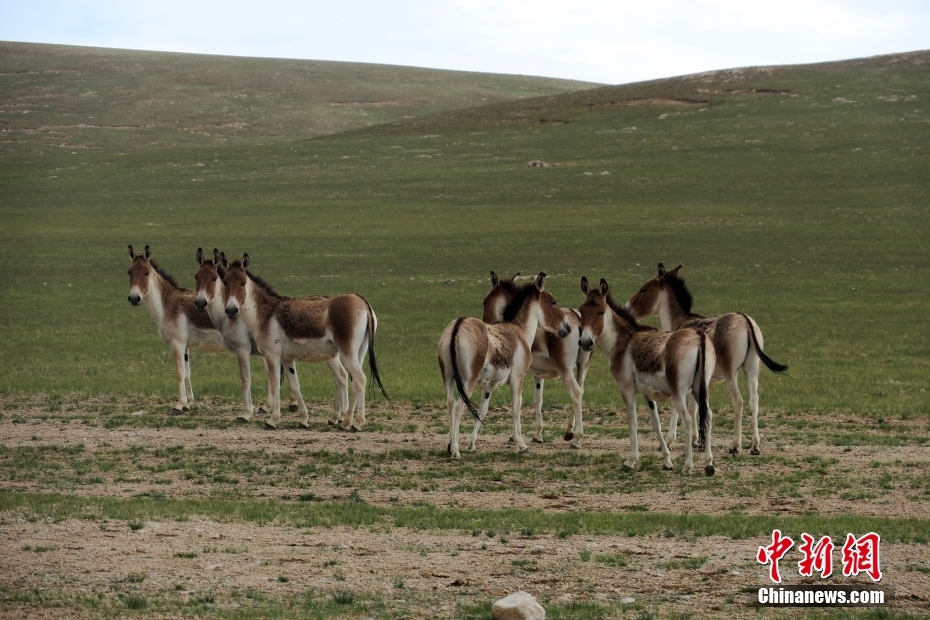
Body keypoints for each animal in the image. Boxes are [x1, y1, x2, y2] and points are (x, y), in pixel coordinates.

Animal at [126, 245, 224, 414]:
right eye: (129, 272)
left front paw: (179, 405)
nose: (134, 298)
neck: (168, 305)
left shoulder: (177, 343)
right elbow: (187, 373)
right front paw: (188, 403)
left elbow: (179, 373)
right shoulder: (185, 346)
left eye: (146, 273)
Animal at [436, 274, 572, 460]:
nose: (568, 328)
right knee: (458, 407)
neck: (519, 329)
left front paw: (471, 443)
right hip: (467, 381)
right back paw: (456, 451)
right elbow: (516, 407)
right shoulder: (517, 378)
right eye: (553, 302)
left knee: (450, 404)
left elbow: (483, 410)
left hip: (447, 377)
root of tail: (458, 325)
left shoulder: (490, 385)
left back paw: (450, 446)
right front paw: (522, 445)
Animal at [576, 276, 716, 474]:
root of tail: (698, 336)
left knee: (688, 420)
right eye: (581, 311)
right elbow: (655, 423)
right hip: (700, 389)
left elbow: (632, 421)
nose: (585, 342)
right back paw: (709, 463)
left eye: (601, 312)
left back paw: (688, 466)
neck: (623, 341)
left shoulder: (626, 389)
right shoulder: (646, 393)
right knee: (708, 416)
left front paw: (631, 460)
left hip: (680, 393)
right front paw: (667, 460)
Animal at [624, 262, 784, 456]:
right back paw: (755, 446)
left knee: (738, 401)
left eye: (643, 289)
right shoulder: (701, 382)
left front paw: (670, 441)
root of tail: (745, 320)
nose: (626, 307)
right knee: (754, 400)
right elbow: (696, 407)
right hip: (752, 368)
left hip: (731, 373)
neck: (680, 322)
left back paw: (735, 445)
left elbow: (679, 407)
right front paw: (694, 440)